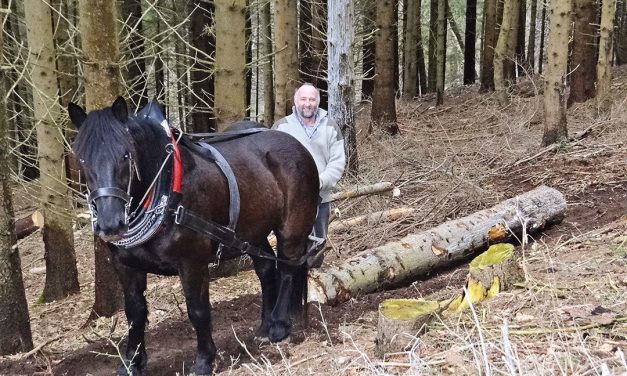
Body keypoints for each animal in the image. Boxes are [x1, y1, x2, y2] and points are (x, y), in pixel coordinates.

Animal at [68, 97, 318, 376]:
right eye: (82, 159)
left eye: (126, 155)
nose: (111, 224)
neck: (166, 188)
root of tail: (296, 143)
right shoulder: (126, 266)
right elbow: (134, 313)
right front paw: (132, 362)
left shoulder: (192, 261)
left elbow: (197, 310)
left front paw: (204, 360)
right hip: (252, 232)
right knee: (266, 269)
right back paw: (265, 326)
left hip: (292, 227)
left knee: (287, 269)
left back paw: (279, 326)